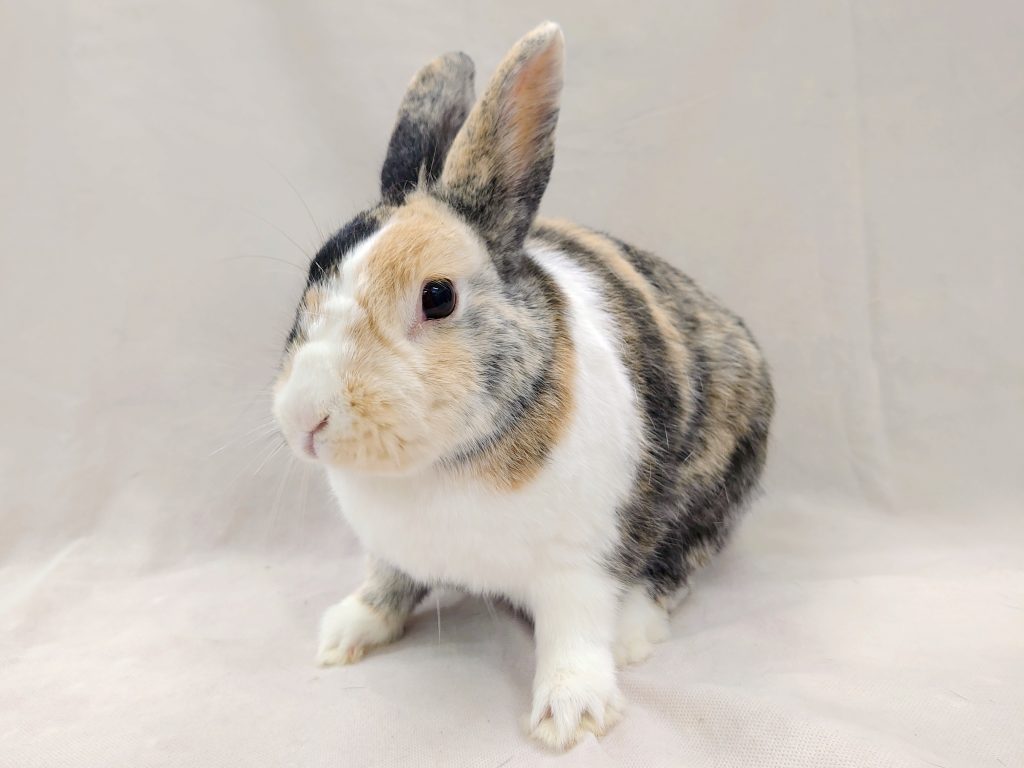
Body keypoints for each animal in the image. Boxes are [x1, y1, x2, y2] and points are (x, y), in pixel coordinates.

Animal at [272, 22, 774, 751]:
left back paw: (632, 632)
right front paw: (344, 633)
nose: (305, 419)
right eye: (311, 279)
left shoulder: (578, 564)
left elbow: (573, 633)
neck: (442, 467)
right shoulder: (388, 553)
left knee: (680, 562)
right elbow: (385, 584)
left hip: (720, 481)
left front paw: (572, 716)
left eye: (438, 297)